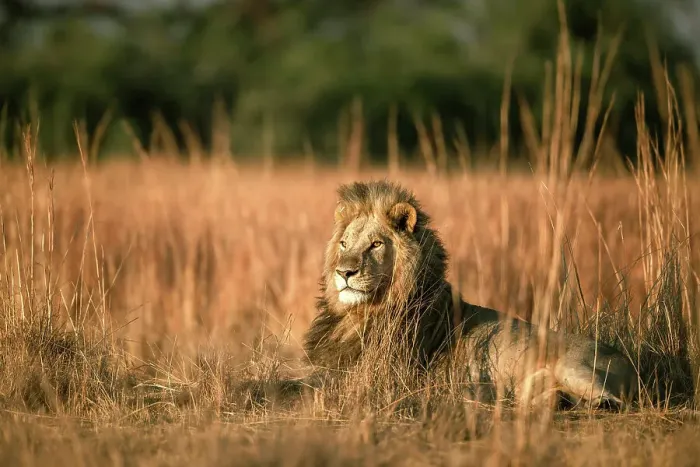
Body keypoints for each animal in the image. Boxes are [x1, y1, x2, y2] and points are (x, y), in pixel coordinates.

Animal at [298, 180, 638, 410]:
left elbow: (298, 386)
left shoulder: (372, 375)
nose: (344, 272)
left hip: (573, 368)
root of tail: (630, 363)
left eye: (376, 244)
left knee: (613, 401)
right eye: (344, 243)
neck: (360, 312)